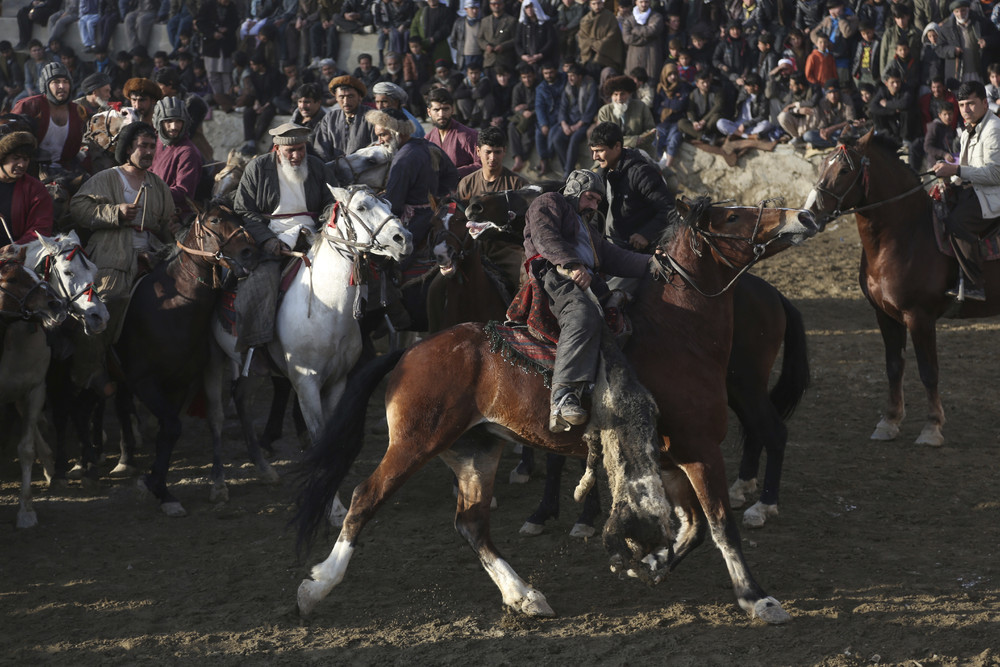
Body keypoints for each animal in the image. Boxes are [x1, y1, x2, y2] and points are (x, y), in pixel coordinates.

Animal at [205, 185, 412, 504]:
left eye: (388, 204)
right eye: (362, 207)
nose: (404, 239)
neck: (329, 308)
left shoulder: (338, 382)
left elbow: (328, 437)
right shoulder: (306, 384)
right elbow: (316, 438)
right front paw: (333, 506)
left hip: (255, 368)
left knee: (242, 399)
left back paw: (264, 468)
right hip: (214, 359)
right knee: (215, 415)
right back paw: (218, 482)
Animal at [292, 196, 816, 624]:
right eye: (733, 216)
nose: (804, 216)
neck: (678, 333)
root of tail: (410, 352)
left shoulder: (671, 459)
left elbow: (693, 529)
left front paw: (651, 563)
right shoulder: (700, 451)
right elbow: (721, 526)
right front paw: (757, 598)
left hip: (475, 451)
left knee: (472, 524)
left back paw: (524, 596)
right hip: (414, 444)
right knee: (364, 498)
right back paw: (316, 587)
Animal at [800, 129, 988, 448]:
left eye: (845, 170)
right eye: (823, 163)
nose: (806, 216)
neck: (905, 235)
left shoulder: (919, 317)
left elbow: (928, 371)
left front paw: (932, 427)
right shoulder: (885, 315)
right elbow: (893, 367)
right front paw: (889, 421)